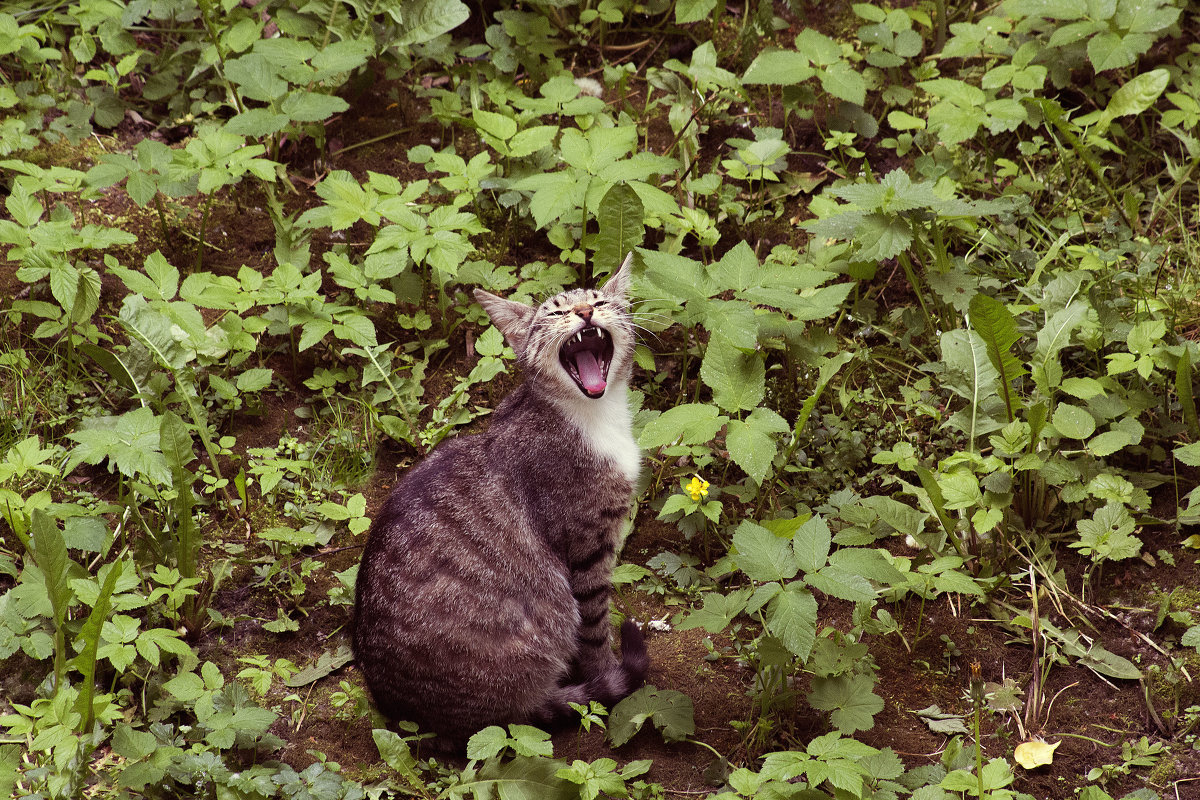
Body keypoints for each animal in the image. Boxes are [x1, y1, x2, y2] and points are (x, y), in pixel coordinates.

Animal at [350, 253, 652, 748]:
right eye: (555, 311)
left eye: (601, 300)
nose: (585, 312)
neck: (594, 415)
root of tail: (415, 714)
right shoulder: (586, 543)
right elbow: (595, 629)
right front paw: (606, 671)